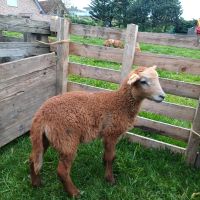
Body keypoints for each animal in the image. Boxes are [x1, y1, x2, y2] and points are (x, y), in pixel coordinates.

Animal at [28, 65, 165, 197]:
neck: (120, 104)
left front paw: (104, 167)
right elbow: (111, 157)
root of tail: (41, 114)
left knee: (33, 159)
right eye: (143, 81)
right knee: (62, 171)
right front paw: (110, 179)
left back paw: (36, 183)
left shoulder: (106, 135)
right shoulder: (111, 133)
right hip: (67, 139)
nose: (163, 96)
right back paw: (74, 193)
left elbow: (108, 156)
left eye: (157, 78)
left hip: (44, 138)